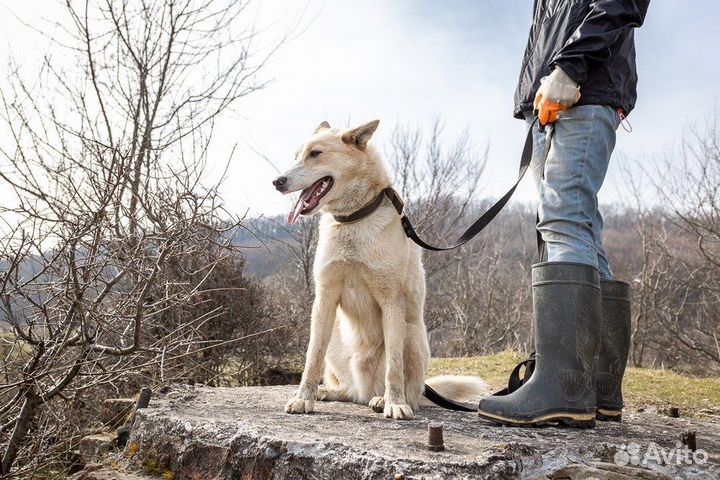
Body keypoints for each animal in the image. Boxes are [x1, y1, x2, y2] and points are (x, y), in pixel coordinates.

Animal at [272, 121, 486, 420]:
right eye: (297, 156)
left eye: (315, 153)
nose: (277, 181)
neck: (353, 220)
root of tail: (364, 390)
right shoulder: (324, 298)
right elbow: (312, 357)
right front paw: (304, 398)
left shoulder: (391, 302)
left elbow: (394, 368)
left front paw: (394, 403)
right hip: (336, 338)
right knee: (348, 390)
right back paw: (330, 392)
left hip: (411, 336)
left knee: (405, 388)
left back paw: (384, 399)